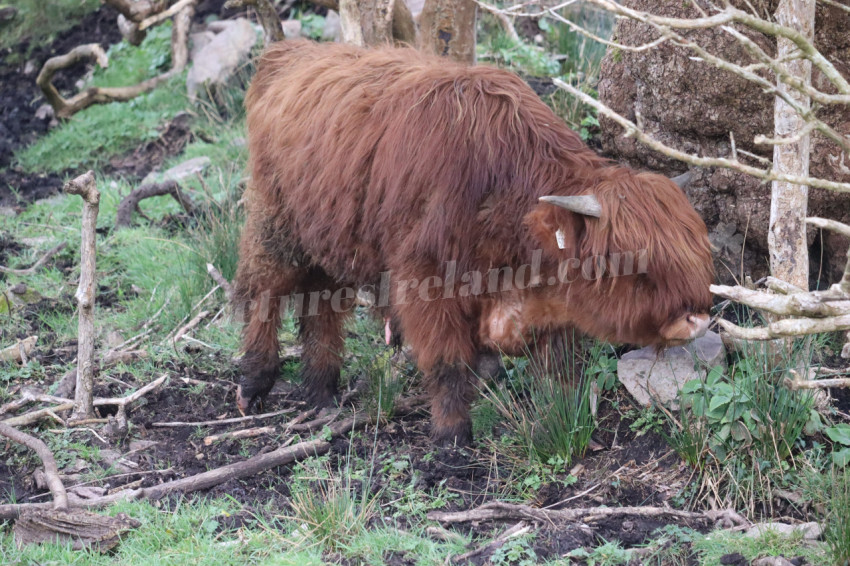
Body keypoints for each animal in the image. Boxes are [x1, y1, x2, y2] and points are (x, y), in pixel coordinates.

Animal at [234, 41, 716, 448]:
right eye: (631, 264)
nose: (695, 319)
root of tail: (289, 52)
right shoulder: (426, 280)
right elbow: (448, 362)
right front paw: (452, 437)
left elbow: (558, 365)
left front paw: (565, 416)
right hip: (274, 225)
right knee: (264, 293)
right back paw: (255, 382)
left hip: (329, 239)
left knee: (323, 306)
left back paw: (322, 390)